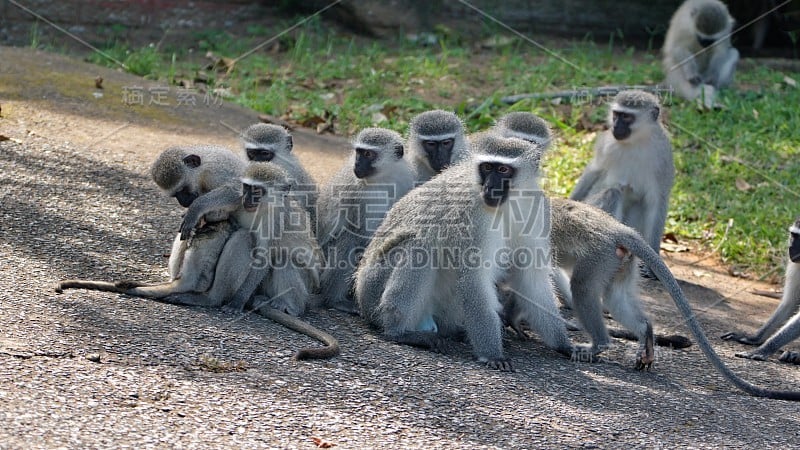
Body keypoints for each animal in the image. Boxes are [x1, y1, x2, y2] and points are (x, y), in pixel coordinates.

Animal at [56, 145, 245, 298]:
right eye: (175, 194)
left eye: (183, 190)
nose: (183, 202)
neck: (202, 171)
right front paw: (195, 215)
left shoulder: (216, 172)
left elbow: (235, 193)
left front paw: (196, 210)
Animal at [316, 126, 416, 312]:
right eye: (358, 152)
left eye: (368, 154)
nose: (357, 164)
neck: (384, 177)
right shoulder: (362, 194)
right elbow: (361, 232)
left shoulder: (404, 180)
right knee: (350, 239)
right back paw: (334, 299)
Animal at [354, 132, 572, 370]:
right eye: (486, 167)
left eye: (502, 170)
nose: (490, 187)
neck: (508, 203)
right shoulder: (473, 215)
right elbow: (475, 277)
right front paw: (492, 354)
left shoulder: (536, 207)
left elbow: (532, 277)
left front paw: (565, 345)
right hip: (372, 289)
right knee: (420, 248)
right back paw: (399, 332)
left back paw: (457, 332)